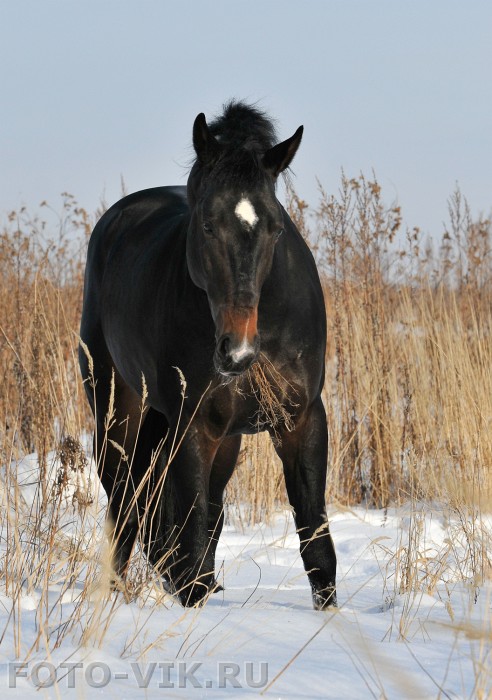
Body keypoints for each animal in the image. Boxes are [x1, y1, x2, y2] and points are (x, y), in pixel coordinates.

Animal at [79, 98, 336, 608]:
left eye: (276, 228)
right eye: (206, 225)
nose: (237, 350)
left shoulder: (301, 420)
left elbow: (316, 541)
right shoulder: (193, 425)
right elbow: (192, 530)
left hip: (219, 437)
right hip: (117, 413)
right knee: (125, 501)